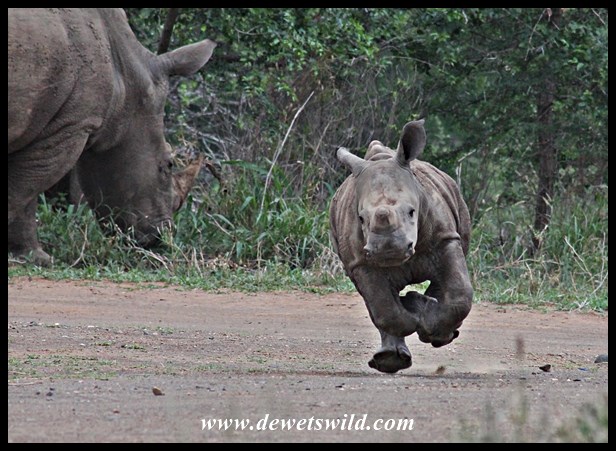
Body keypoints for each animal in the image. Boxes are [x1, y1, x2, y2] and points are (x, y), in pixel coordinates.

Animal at [8, 8, 216, 265]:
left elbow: (26, 197)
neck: (127, 76)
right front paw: (38, 258)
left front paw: (32, 257)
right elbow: (25, 189)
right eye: (167, 164)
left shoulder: (52, 124)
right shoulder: (69, 126)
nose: (159, 240)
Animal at [329, 120, 473, 373]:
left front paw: (423, 315)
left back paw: (435, 327)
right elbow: (384, 309)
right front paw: (412, 309)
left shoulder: (446, 238)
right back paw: (389, 359)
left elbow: (460, 294)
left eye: (412, 211)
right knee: (376, 301)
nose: (389, 249)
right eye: (361, 218)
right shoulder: (360, 261)